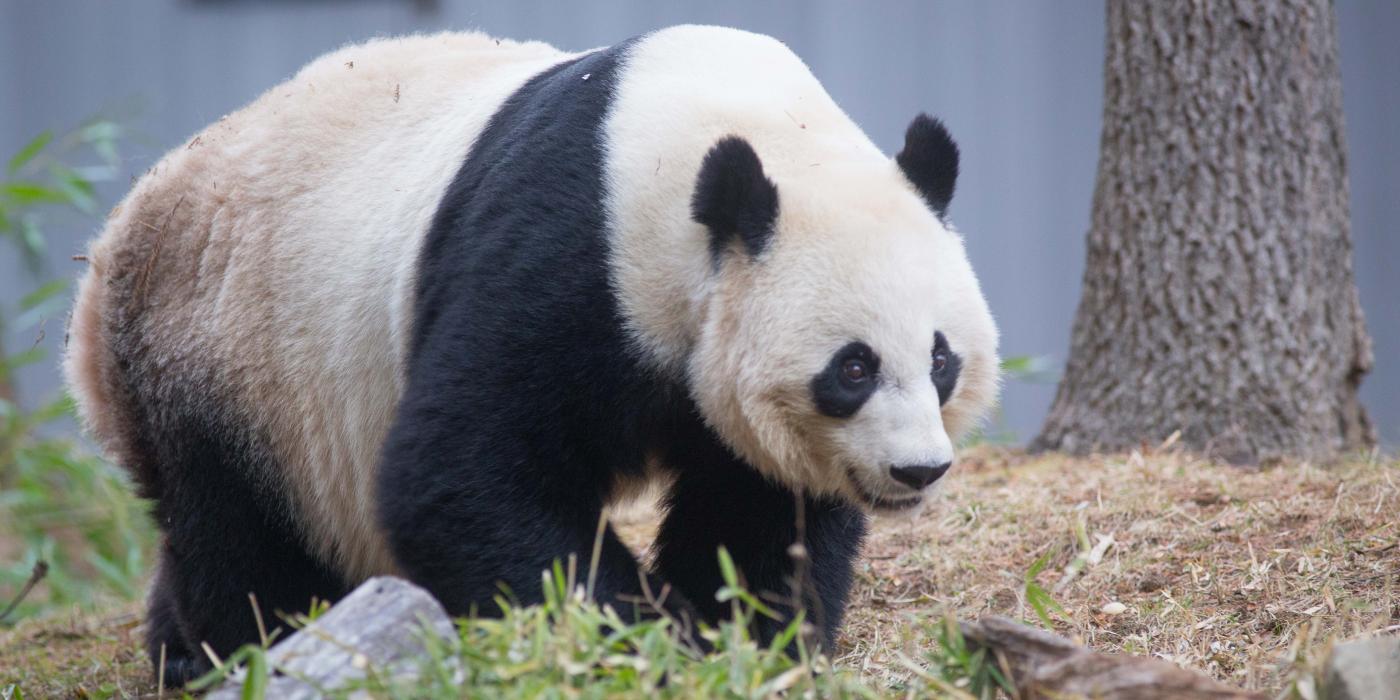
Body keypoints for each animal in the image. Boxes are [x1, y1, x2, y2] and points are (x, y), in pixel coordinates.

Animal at [65, 25, 1002, 683]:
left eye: (941, 359)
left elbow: (759, 508)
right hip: (220, 361)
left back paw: (175, 648)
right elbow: (462, 466)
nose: (918, 471)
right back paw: (239, 651)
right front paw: (634, 639)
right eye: (853, 368)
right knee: (239, 535)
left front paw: (740, 636)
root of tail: (106, 257)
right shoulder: (568, 252)